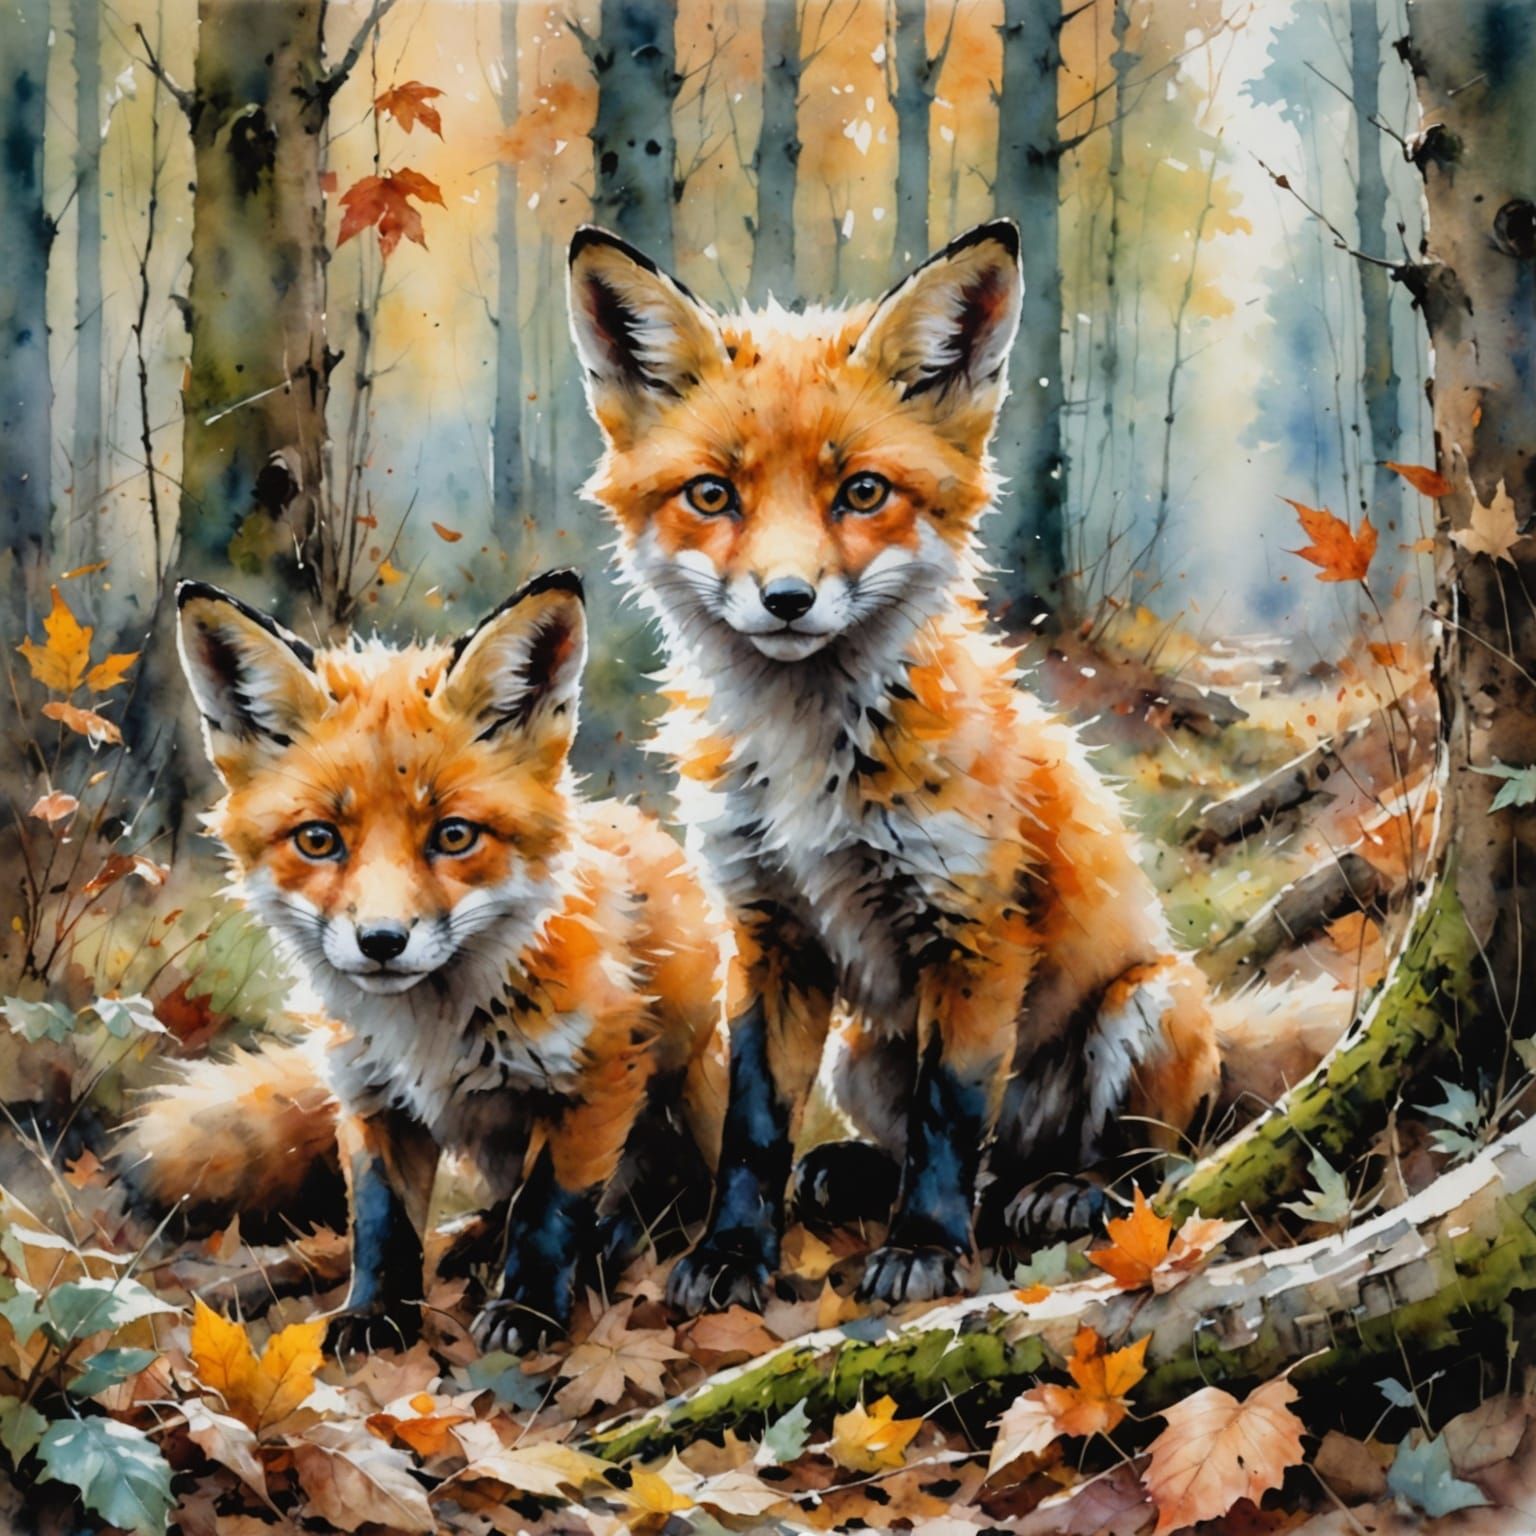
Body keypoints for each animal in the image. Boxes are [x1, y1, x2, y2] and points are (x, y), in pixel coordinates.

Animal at [122, 572, 726, 1352]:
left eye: (454, 835)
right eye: (318, 840)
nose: (381, 941)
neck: (432, 1031)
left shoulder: (599, 1078)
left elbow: (550, 1210)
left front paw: (528, 1310)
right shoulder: (369, 1096)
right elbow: (383, 1224)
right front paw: (375, 1315)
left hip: (707, 1084)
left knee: (678, 1194)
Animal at [565, 219, 1352, 1313]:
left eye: (862, 492)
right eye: (712, 496)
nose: (787, 598)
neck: (809, 767)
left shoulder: (975, 930)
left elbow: (949, 1111)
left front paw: (926, 1252)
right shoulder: (768, 934)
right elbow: (756, 1128)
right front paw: (731, 1252)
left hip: (1145, 1007)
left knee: (1135, 1165)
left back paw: (1063, 1194)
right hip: (859, 1056)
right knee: (932, 1153)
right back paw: (861, 1175)